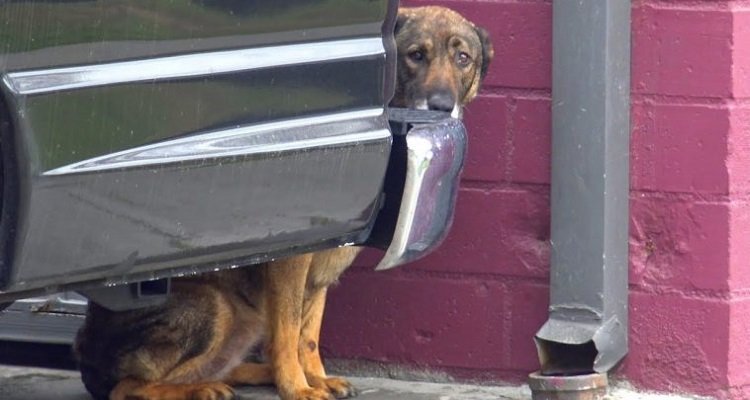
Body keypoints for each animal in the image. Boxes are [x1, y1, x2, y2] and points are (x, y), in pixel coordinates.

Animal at [75, 6, 494, 400]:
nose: (441, 106)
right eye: (415, 55)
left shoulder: (322, 267)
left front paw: (315, 378)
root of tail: (85, 359)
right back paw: (203, 388)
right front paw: (297, 387)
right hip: (217, 304)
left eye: (463, 58)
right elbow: (289, 332)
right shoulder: (291, 263)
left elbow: (307, 334)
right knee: (127, 387)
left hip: (243, 319)